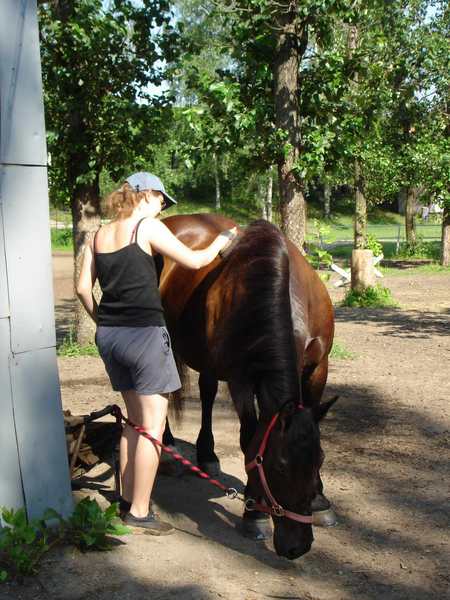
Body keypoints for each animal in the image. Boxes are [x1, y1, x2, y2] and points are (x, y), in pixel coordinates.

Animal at [157, 214, 334, 556]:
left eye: (320, 460)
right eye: (279, 467)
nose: (298, 547)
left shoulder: (319, 367)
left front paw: (320, 499)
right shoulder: (241, 380)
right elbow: (250, 439)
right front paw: (254, 515)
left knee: (207, 391)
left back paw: (207, 454)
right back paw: (169, 445)